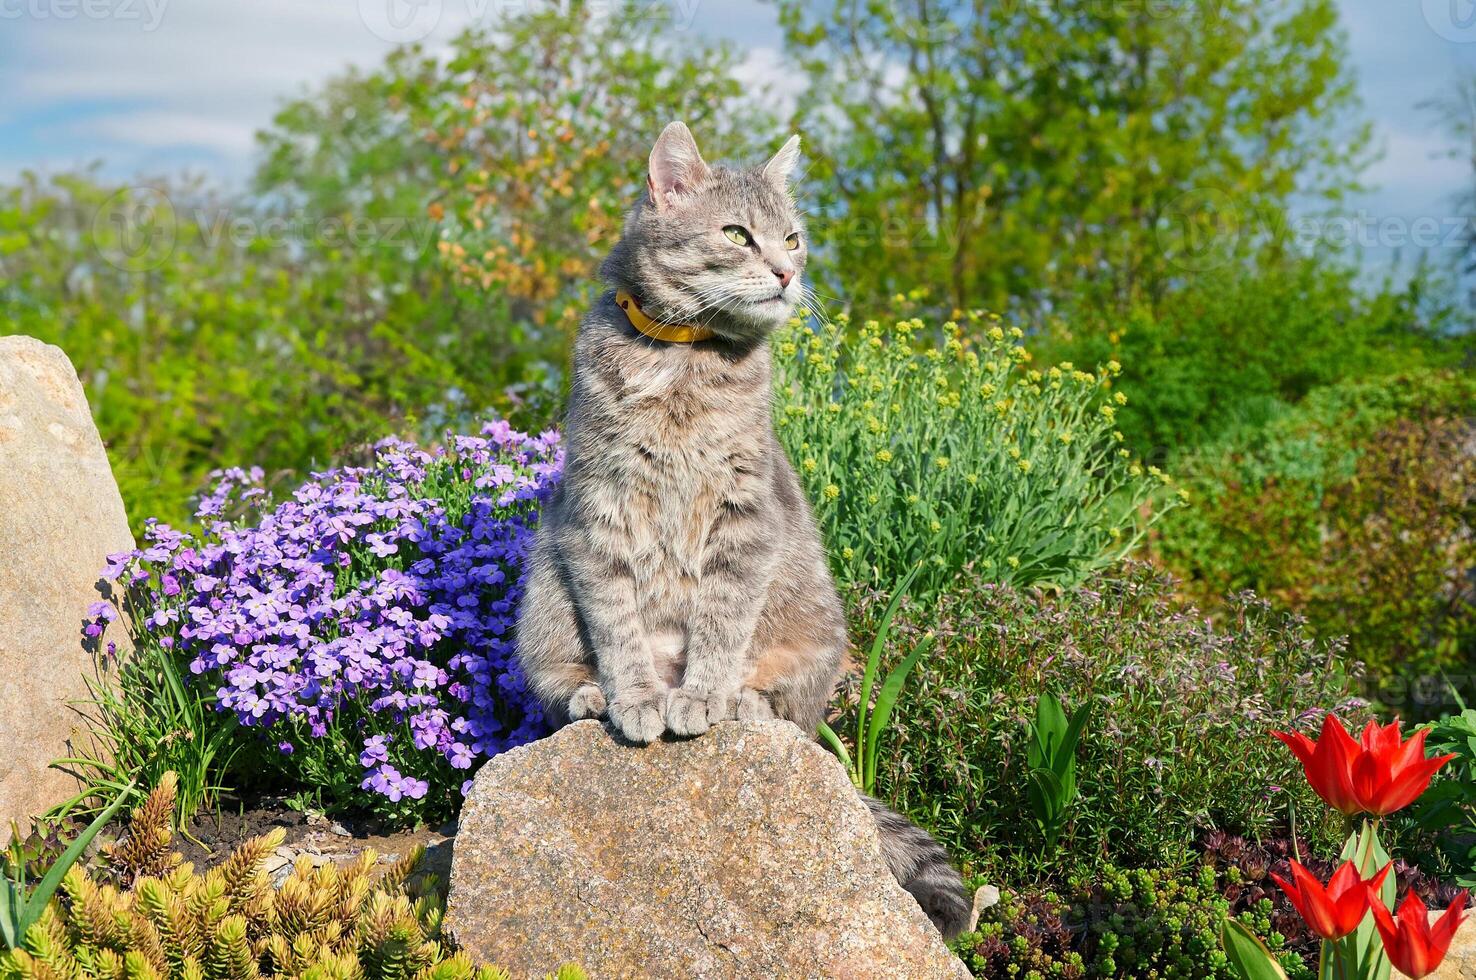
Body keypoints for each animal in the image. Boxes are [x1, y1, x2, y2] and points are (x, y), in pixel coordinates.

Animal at [516, 122, 968, 944]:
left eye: (793, 238)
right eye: (736, 234)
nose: (787, 272)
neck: (683, 359)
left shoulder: (746, 517)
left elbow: (722, 622)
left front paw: (701, 695)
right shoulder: (597, 512)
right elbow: (620, 624)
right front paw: (635, 695)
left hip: (819, 640)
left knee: (792, 715)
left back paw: (741, 704)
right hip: (543, 601)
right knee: (556, 678)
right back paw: (593, 696)